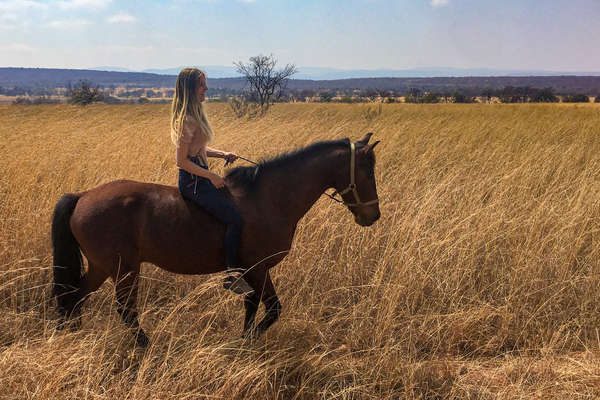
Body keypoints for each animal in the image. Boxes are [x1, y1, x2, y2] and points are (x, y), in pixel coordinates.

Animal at [50, 133, 380, 346]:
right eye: (367, 172)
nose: (373, 215)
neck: (269, 197)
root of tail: (82, 197)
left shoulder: (253, 271)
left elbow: (253, 304)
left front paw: (244, 340)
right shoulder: (257, 268)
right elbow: (271, 308)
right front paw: (248, 341)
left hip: (102, 267)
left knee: (74, 297)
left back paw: (70, 335)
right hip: (123, 269)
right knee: (124, 310)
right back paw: (146, 345)